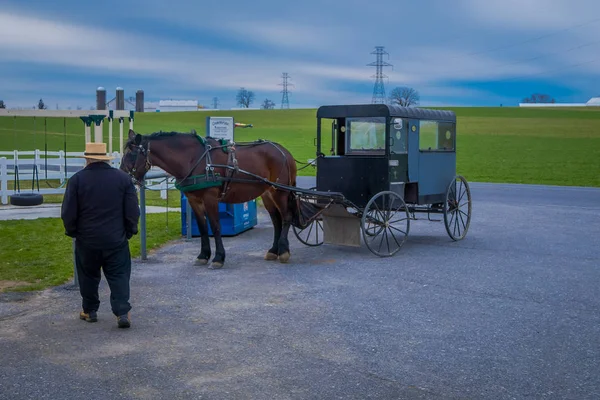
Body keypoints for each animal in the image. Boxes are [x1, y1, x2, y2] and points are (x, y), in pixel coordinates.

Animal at [119, 130, 308, 270]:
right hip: (267, 194)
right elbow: (203, 228)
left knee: (286, 217)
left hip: (280, 192)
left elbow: (215, 226)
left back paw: (283, 251)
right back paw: (274, 250)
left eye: (132, 154)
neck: (194, 159)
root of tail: (284, 152)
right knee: (276, 221)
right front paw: (203, 255)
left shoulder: (210, 198)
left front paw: (218, 258)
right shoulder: (194, 200)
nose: (122, 176)